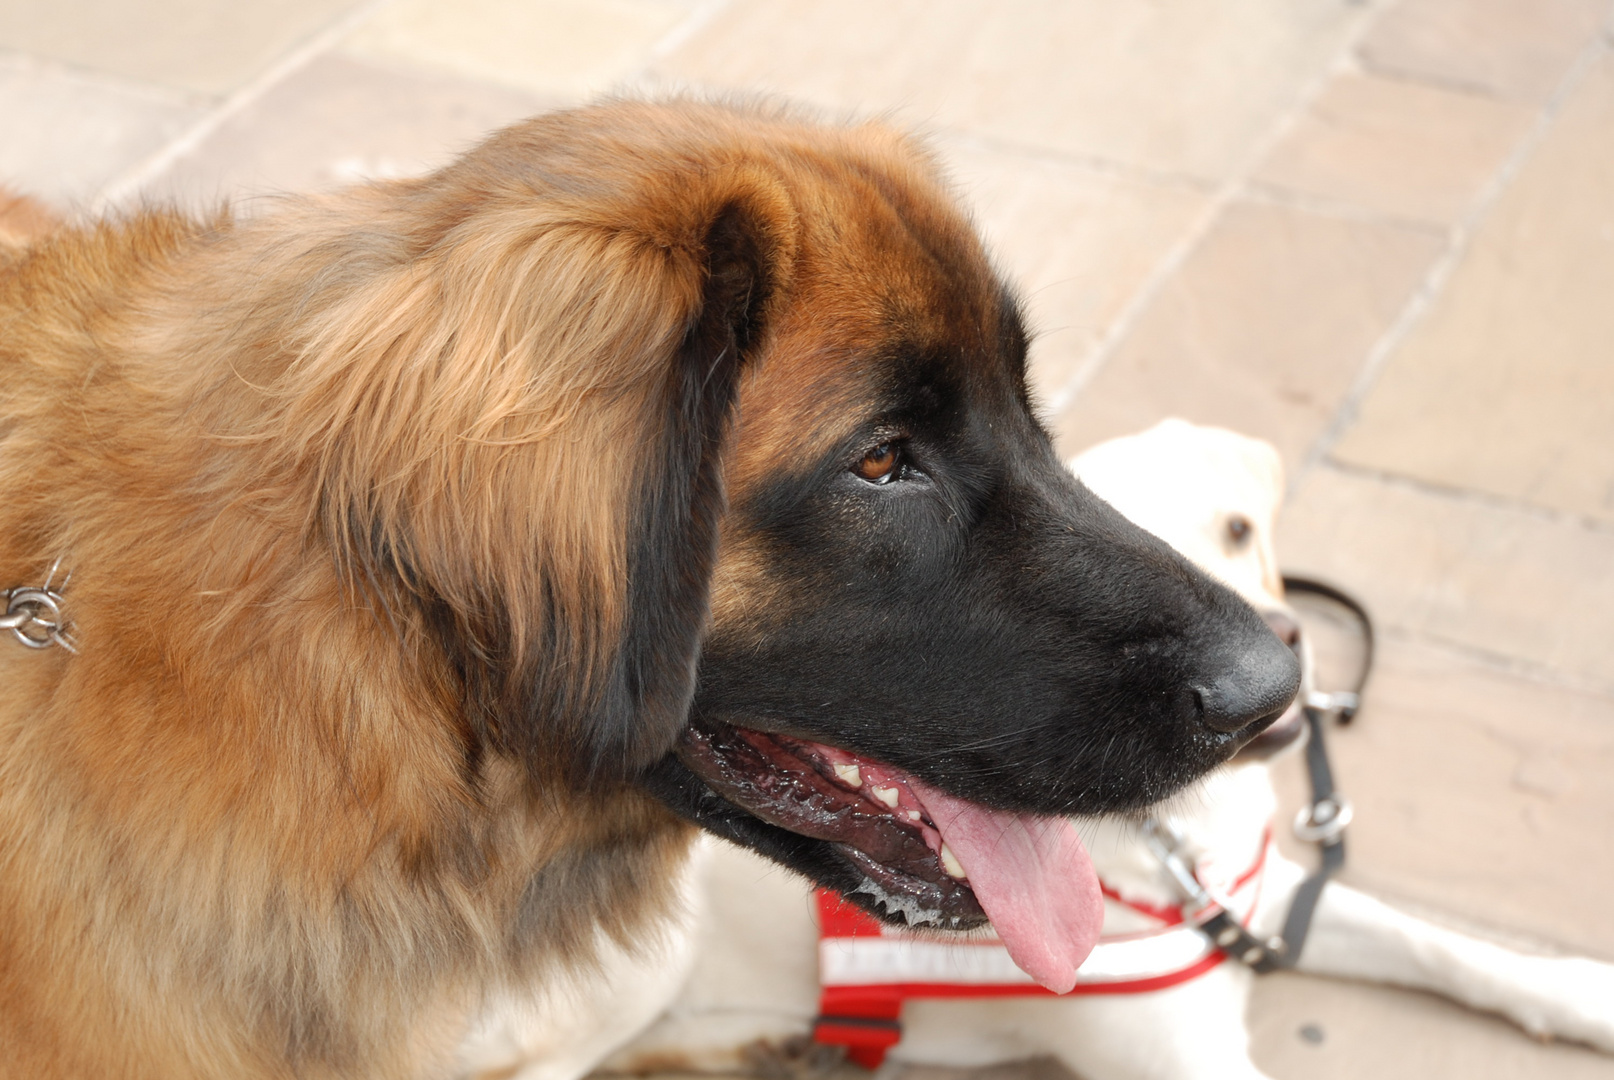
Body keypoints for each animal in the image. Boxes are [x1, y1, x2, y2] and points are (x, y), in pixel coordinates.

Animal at [464, 419, 1614, 1078]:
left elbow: (1443, 946)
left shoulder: (1261, 898)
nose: (1278, 664)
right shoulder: (1186, 1062)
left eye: (1240, 529)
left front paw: (1576, 995)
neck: (1168, 833)